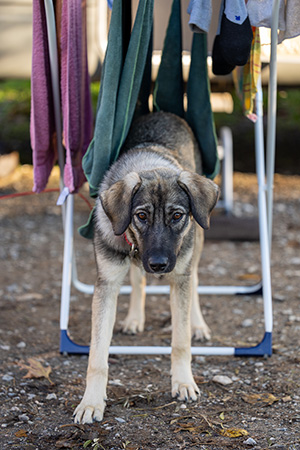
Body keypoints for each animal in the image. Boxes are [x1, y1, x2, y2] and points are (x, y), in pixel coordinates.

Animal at [74, 112, 219, 426]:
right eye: (141, 215)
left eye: (177, 216)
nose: (159, 265)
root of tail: (162, 112)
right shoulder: (106, 285)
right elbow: (97, 356)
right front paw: (91, 402)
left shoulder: (179, 275)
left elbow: (180, 341)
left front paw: (183, 382)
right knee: (138, 279)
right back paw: (134, 318)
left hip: (195, 247)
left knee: (195, 280)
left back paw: (199, 324)